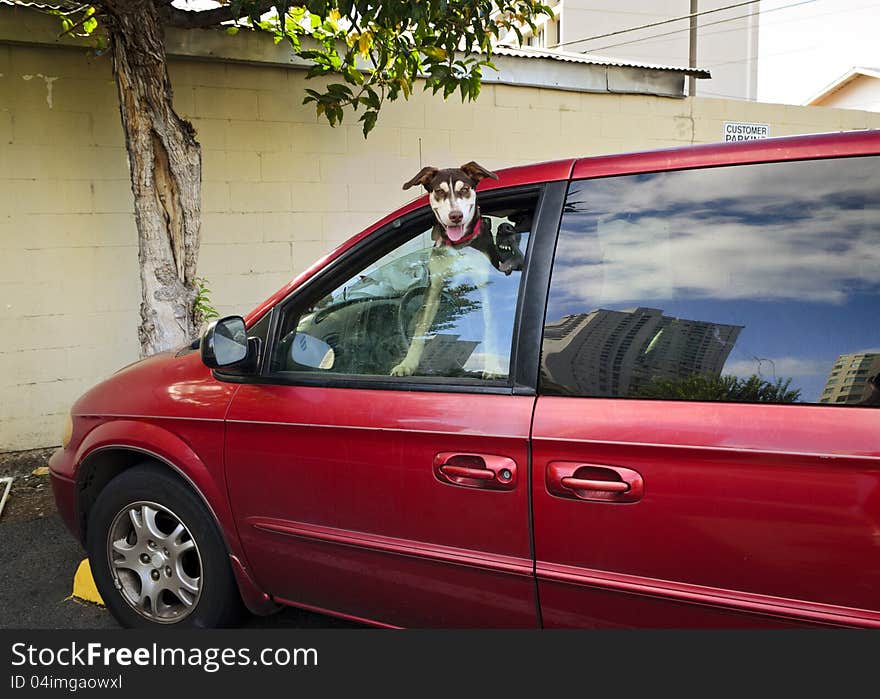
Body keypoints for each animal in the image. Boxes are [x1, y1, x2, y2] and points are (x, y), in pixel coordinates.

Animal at [388, 162, 520, 380]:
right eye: (439, 191)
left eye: (464, 189)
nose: (455, 216)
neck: (459, 245)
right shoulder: (434, 287)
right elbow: (420, 328)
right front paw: (407, 364)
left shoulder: (486, 285)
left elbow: (490, 326)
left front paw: (492, 367)